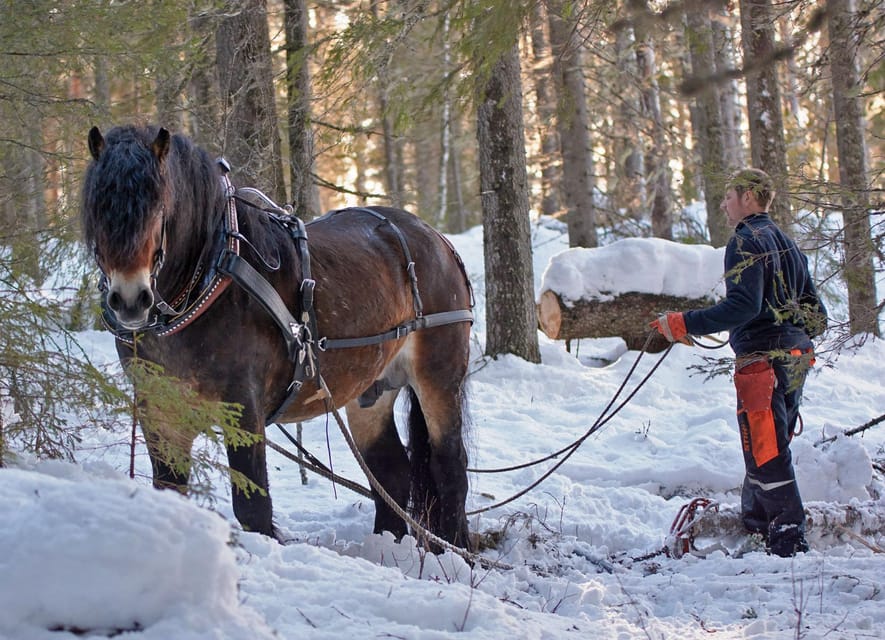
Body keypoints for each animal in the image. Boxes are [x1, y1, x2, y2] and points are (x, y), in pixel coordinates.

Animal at [79, 126, 474, 552]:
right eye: (97, 210)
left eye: (158, 208)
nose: (130, 300)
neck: (210, 278)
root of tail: (437, 240)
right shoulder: (160, 410)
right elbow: (170, 490)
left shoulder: (242, 406)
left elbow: (253, 509)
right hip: (372, 388)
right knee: (391, 472)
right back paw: (387, 547)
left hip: (438, 376)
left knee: (449, 467)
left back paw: (459, 550)